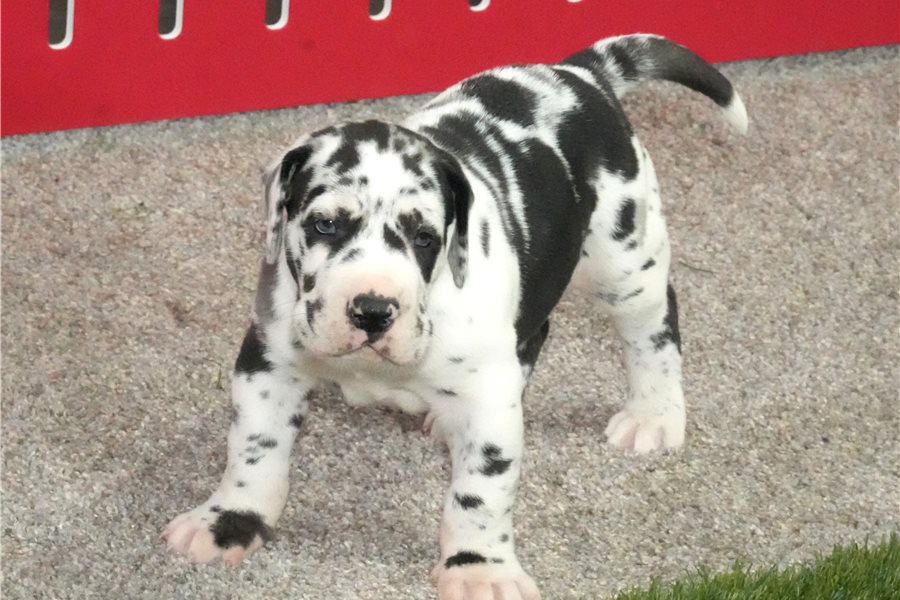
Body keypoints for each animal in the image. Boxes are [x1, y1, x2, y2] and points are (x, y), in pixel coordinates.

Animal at [162, 34, 747, 600]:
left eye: (424, 237)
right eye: (325, 224)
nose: (372, 310)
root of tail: (582, 73)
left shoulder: (489, 404)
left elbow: (480, 493)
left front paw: (478, 569)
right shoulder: (267, 366)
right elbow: (254, 453)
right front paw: (228, 522)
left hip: (622, 263)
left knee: (654, 327)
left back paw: (653, 414)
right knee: (537, 332)